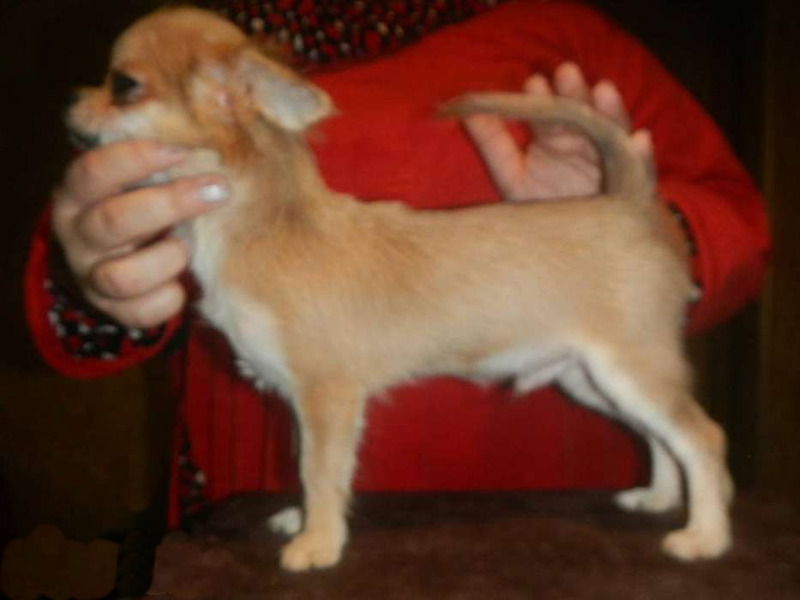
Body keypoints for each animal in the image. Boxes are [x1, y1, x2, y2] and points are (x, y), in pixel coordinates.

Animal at [66, 7, 733, 571]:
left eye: (123, 86)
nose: (71, 101)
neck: (261, 227)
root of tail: (628, 202)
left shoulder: (328, 396)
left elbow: (320, 470)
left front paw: (318, 543)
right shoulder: (301, 400)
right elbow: (301, 464)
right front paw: (302, 521)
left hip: (628, 369)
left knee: (701, 436)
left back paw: (704, 537)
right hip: (591, 379)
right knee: (661, 435)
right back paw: (658, 499)